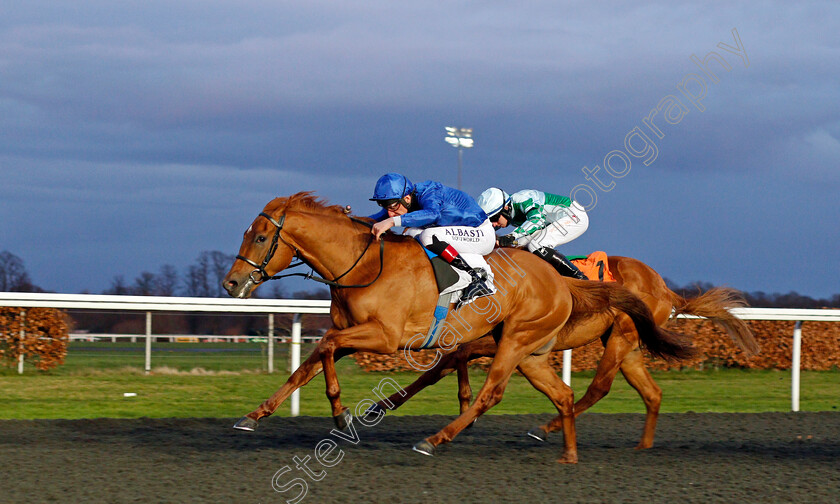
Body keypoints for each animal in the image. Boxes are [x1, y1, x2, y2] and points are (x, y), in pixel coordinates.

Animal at [221, 194, 696, 464]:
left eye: (260, 238)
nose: (231, 284)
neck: (365, 263)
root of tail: (563, 283)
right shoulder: (358, 332)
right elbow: (311, 361)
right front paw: (253, 416)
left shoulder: (386, 336)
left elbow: (330, 347)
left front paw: (342, 413)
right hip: (542, 350)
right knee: (579, 394)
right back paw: (574, 452)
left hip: (536, 340)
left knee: (507, 392)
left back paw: (437, 439)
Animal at [370, 256, 756, 448]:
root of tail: (665, 288)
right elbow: (450, 360)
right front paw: (383, 406)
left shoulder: (503, 338)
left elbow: (452, 358)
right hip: (627, 344)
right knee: (651, 392)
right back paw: (642, 446)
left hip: (620, 337)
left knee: (599, 387)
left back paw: (545, 428)